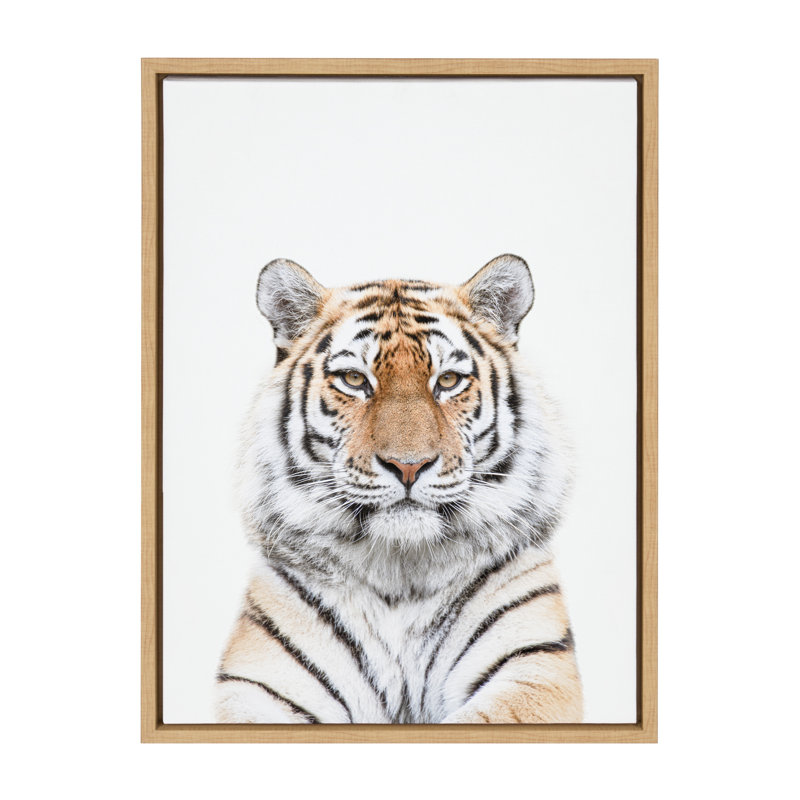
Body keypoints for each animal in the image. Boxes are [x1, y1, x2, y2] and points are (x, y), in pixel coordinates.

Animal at [216, 254, 583, 724]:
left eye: (448, 381)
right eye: (354, 380)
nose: (409, 466)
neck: (401, 576)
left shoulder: (534, 667)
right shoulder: (260, 685)